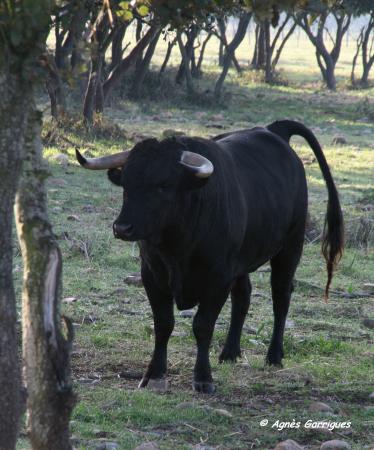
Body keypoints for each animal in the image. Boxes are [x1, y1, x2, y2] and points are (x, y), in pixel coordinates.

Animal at [76, 119, 344, 394]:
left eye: (164, 185)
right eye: (126, 184)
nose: (122, 228)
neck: (177, 246)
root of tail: (274, 129)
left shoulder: (218, 279)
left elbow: (203, 326)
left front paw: (203, 378)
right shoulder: (152, 275)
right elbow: (163, 323)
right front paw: (154, 373)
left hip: (290, 247)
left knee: (281, 297)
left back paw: (274, 356)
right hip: (242, 261)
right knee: (243, 296)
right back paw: (229, 352)